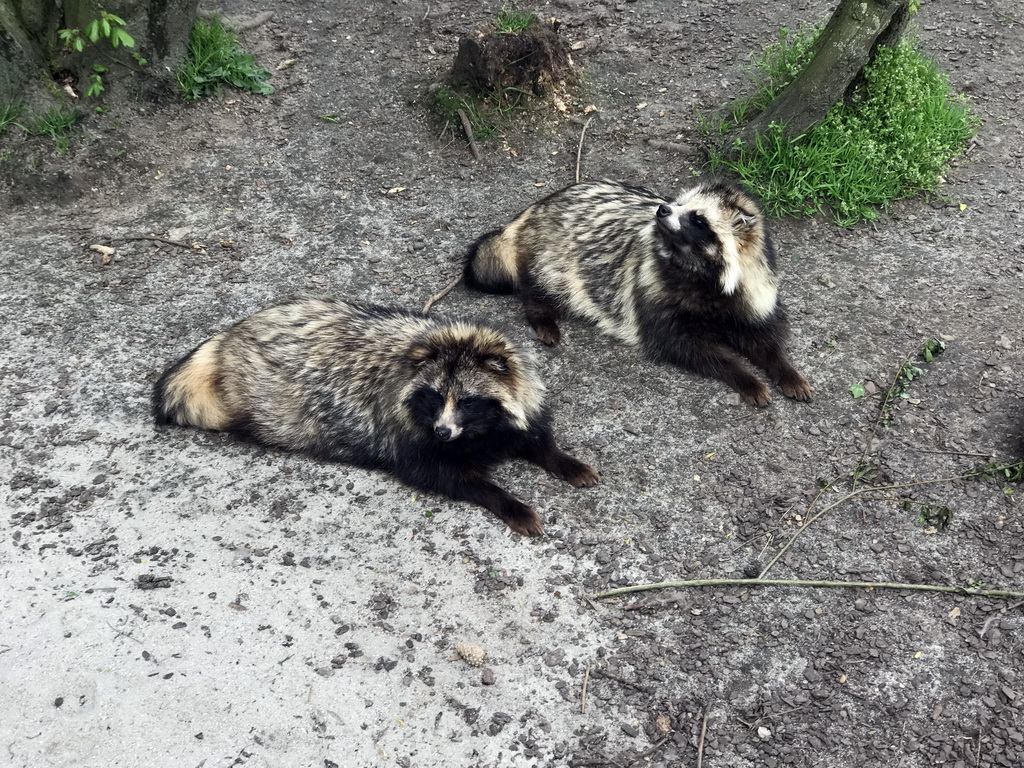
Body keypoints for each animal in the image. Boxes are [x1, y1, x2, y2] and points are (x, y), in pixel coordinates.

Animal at [152, 296, 598, 536]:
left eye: (468, 401)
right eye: (436, 397)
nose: (442, 432)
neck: (475, 433)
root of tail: (229, 335)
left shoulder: (513, 407)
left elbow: (533, 436)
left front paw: (563, 459)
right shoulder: (408, 436)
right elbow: (452, 477)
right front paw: (510, 503)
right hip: (267, 400)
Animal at [462, 180, 806, 409]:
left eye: (698, 218)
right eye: (679, 202)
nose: (662, 209)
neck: (700, 276)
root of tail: (532, 211)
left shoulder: (754, 293)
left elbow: (764, 337)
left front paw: (786, 370)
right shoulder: (654, 290)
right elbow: (690, 345)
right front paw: (746, 377)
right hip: (554, 255)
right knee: (543, 285)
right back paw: (543, 317)